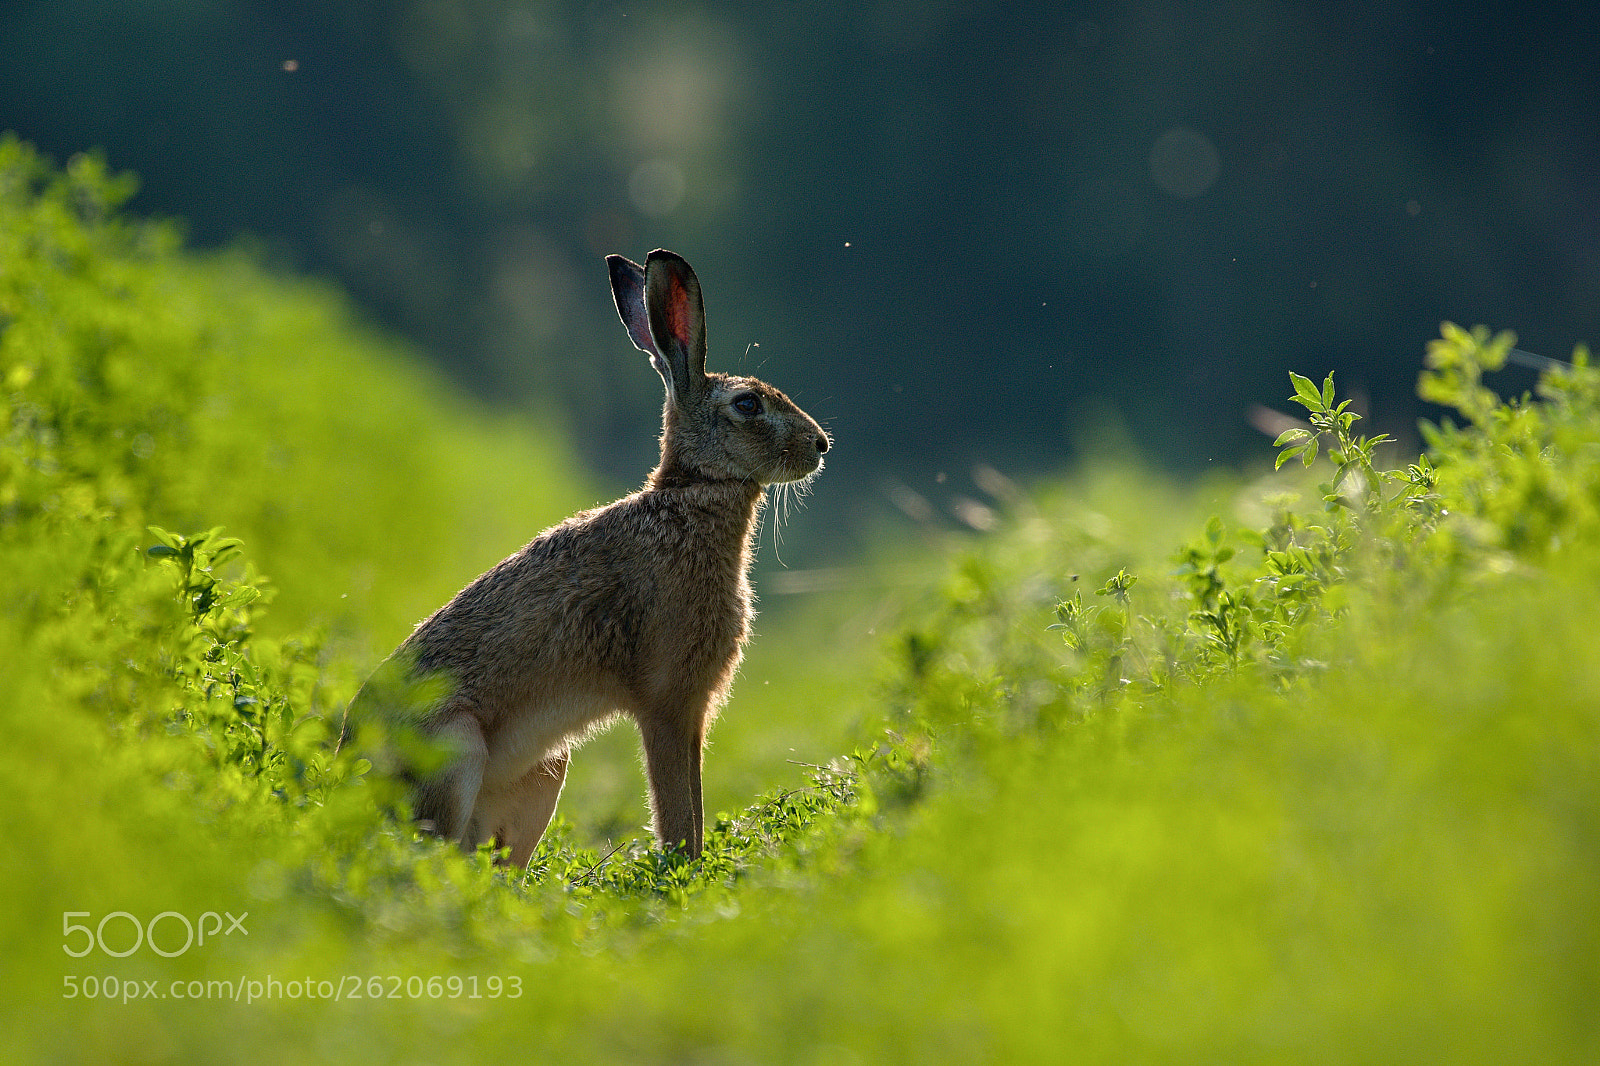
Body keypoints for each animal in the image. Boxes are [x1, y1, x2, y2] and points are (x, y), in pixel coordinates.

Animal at [341, 248, 829, 865]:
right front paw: (686, 872)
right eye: (748, 404)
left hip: (546, 769)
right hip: (453, 749)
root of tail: (346, 772)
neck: (691, 493)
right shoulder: (668, 701)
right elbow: (678, 810)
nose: (821, 445)